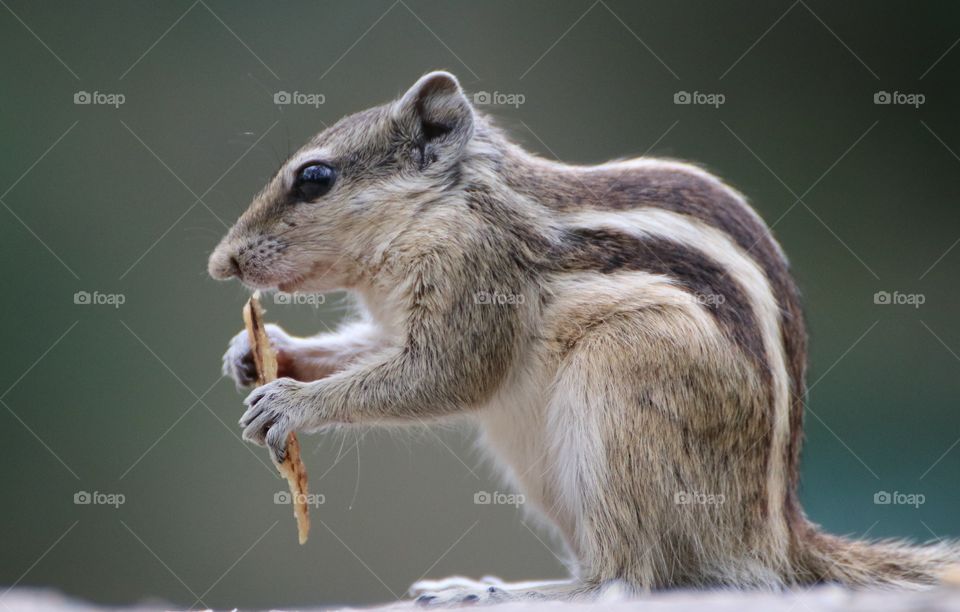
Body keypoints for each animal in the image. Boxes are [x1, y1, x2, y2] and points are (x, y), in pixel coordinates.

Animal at [208, 71, 959, 605]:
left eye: (315, 178)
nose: (221, 263)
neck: (445, 206)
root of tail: (772, 539)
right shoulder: (394, 318)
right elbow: (374, 350)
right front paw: (260, 353)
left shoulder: (477, 274)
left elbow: (448, 374)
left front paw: (291, 403)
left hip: (621, 391)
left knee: (626, 578)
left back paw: (496, 591)